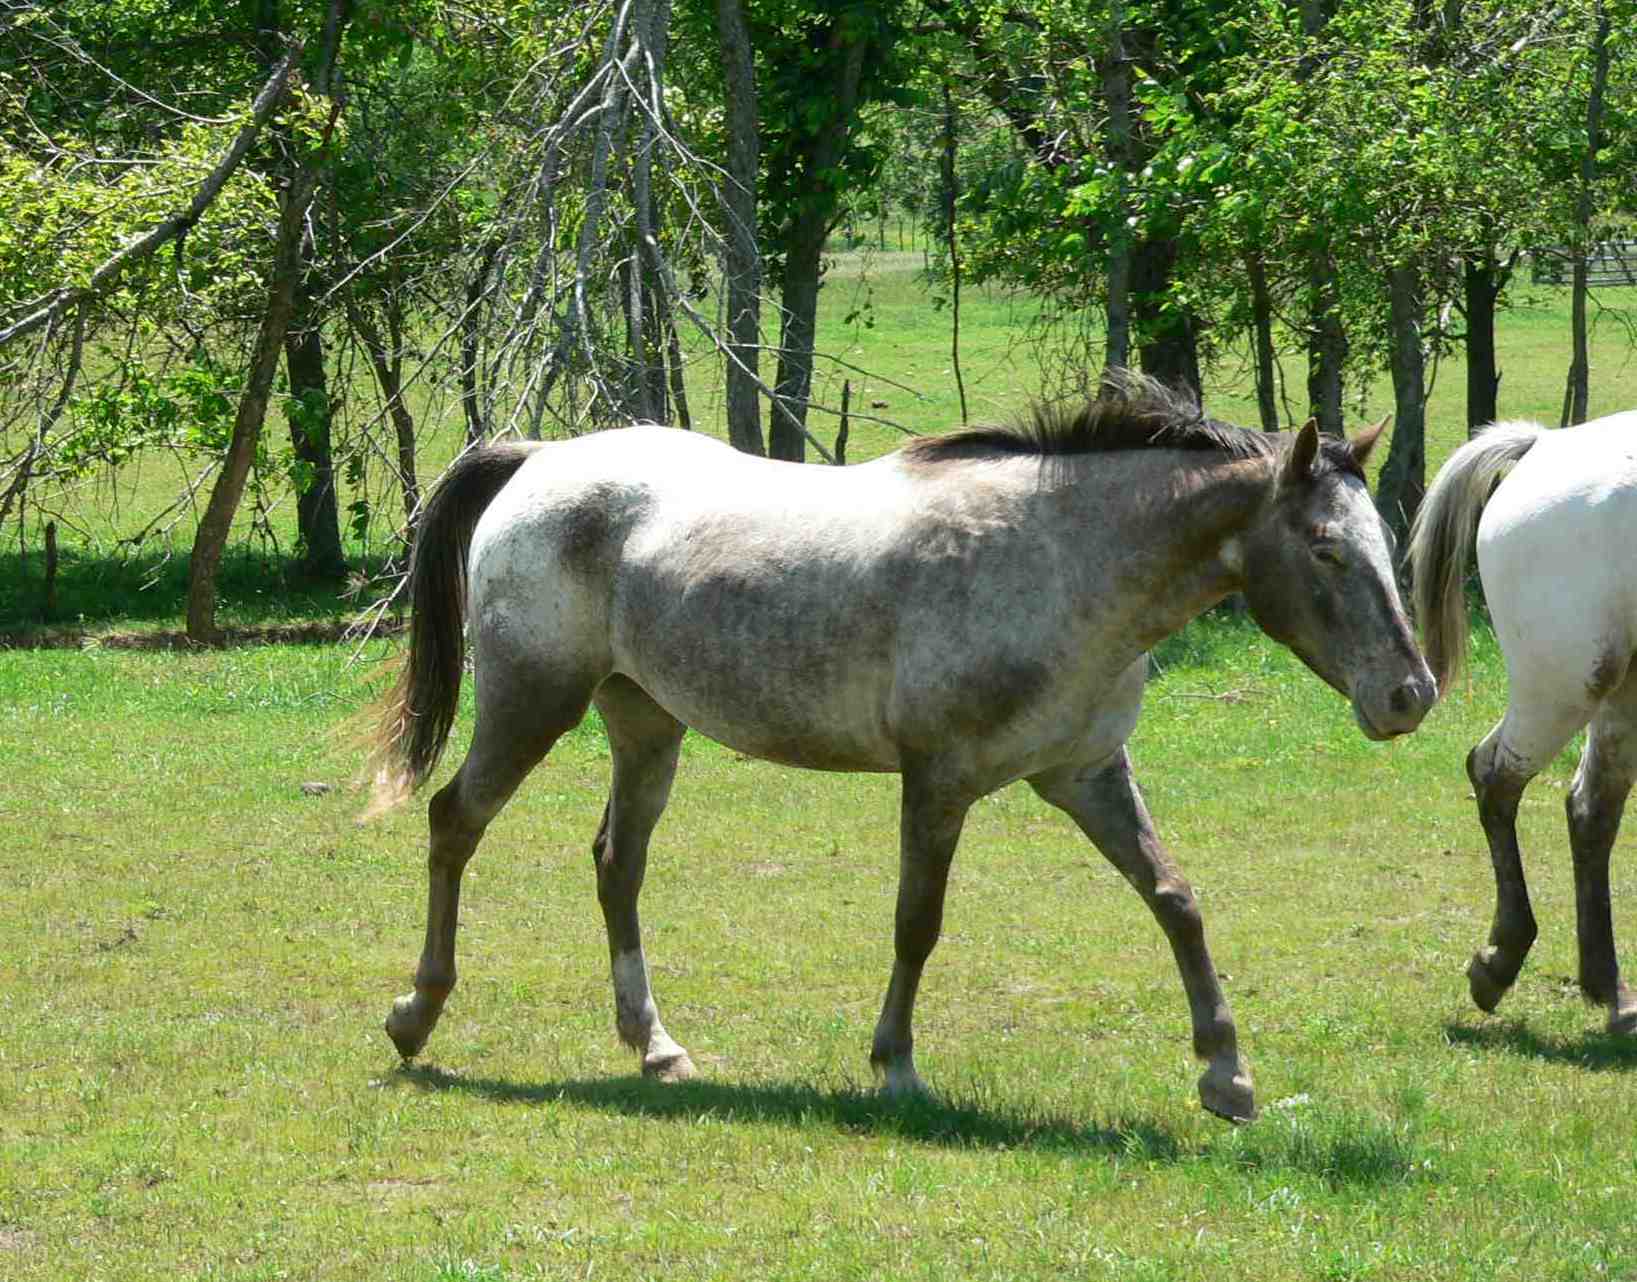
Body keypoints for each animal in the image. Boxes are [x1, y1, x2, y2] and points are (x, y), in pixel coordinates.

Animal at [371, 373, 1434, 1126]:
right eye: (1326, 549)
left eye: (1383, 541)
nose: (1409, 695)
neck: (1057, 561)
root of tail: (539, 458)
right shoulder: (939, 782)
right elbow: (915, 924)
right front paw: (895, 1067)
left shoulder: (1084, 775)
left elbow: (1175, 899)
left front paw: (1226, 1075)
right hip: (531, 702)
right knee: (455, 821)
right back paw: (416, 1014)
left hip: (645, 724)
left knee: (615, 864)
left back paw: (656, 1047)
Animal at [1407, 410, 1637, 1034]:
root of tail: (1544, 446)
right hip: (1564, 686)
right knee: (1495, 776)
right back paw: (1500, 961)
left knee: (1591, 809)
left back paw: (1610, 990)